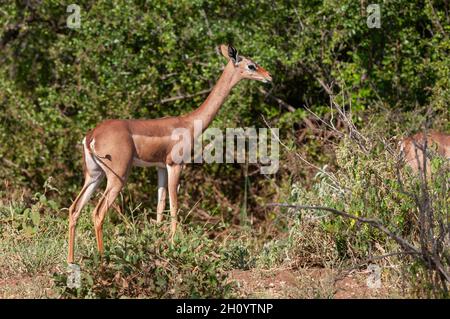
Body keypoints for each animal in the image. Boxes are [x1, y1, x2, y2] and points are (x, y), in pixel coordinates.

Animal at [66, 45, 270, 264]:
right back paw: (103, 259)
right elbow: (174, 206)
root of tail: (91, 136)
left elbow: (160, 205)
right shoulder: (175, 165)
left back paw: (71, 260)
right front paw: (173, 246)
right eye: (251, 65)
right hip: (117, 177)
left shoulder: (160, 167)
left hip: (94, 175)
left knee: (75, 209)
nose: (268, 76)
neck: (189, 123)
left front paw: (157, 245)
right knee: (98, 212)